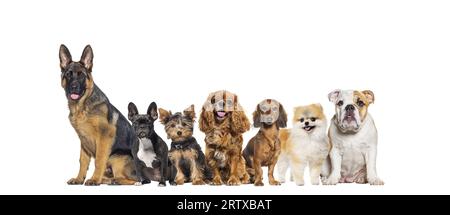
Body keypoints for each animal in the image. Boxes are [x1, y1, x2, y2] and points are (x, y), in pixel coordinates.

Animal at [60, 44, 137, 186]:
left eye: (81, 75)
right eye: (68, 75)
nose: (73, 87)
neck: (82, 106)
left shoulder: (105, 136)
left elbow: (99, 160)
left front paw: (95, 179)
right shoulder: (83, 141)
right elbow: (83, 161)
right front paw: (79, 179)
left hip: (117, 157)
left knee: (134, 180)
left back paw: (115, 180)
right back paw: (107, 180)